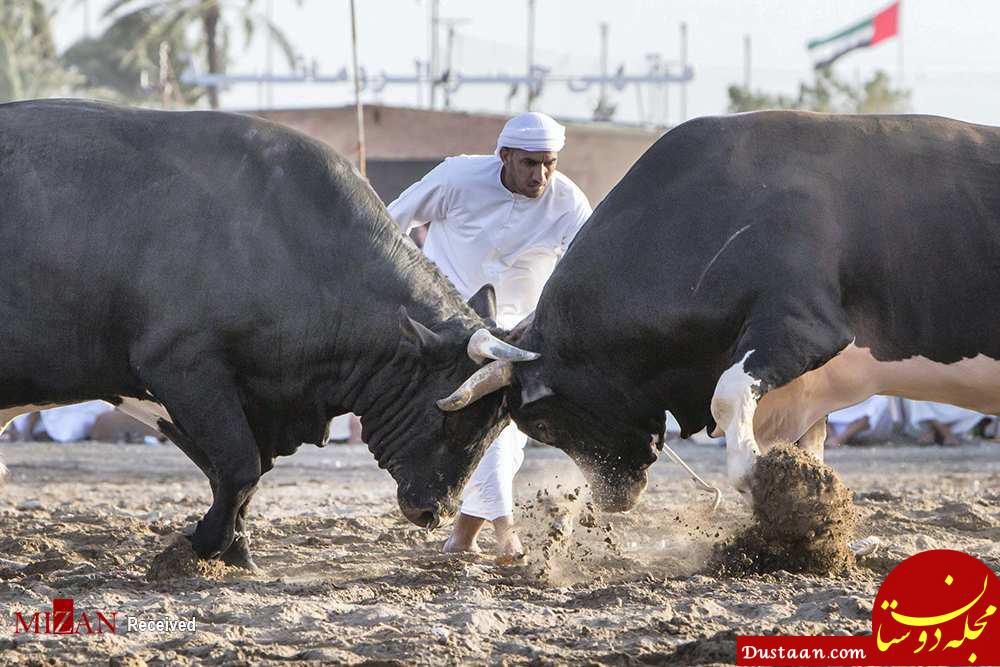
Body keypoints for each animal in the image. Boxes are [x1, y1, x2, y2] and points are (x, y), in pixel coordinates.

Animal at [0, 100, 536, 568]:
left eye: (496, 427)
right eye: (458, 422)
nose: (434, 512)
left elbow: (239, 475)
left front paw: (235, 549)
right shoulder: (183, 368)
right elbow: (239, 468)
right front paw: (201, 544)